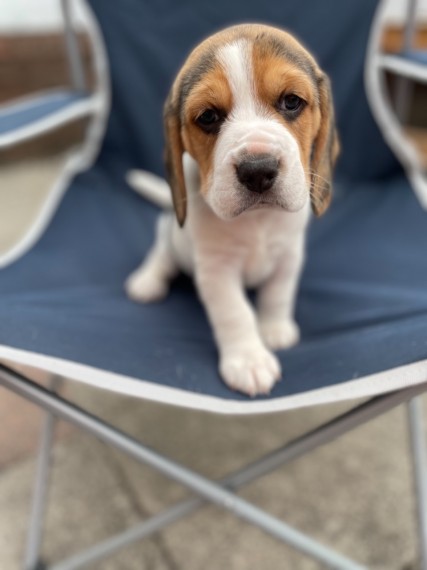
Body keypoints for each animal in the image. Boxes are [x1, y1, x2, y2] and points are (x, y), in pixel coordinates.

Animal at [125, 23, 340, 394]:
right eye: (208, 117)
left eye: (291, 102)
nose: (258, 170)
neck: (258, 221)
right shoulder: (217, 271)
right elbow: (235, 313)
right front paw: (249, 361)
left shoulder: (290, 255)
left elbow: (278, 293)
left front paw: (274, 329)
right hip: (170, 234)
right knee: (161, 252)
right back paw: (148, 280)